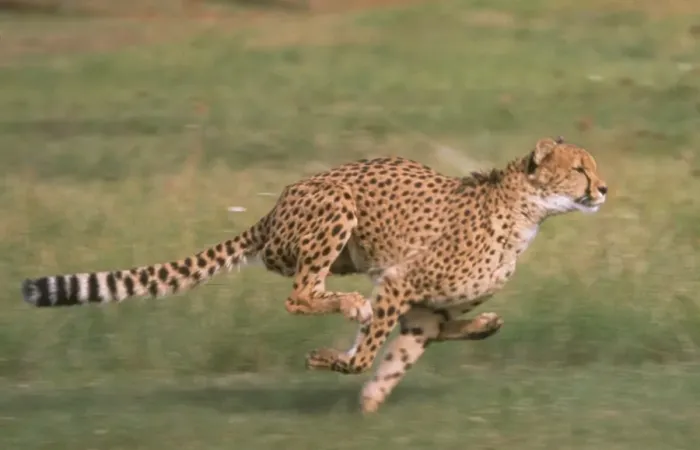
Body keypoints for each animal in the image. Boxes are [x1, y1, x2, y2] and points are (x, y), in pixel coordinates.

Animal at [21, 136, 607, 413]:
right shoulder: (399, 284)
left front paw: (369, 403)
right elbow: (369, 353)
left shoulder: (420, 309)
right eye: (580, 168)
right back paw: (348, 305)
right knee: (300, 294)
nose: (604, 189)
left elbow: (399, 354)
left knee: (310, 289)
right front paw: (332, 360)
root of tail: (276, 204)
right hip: (335, 209)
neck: (529, 210)